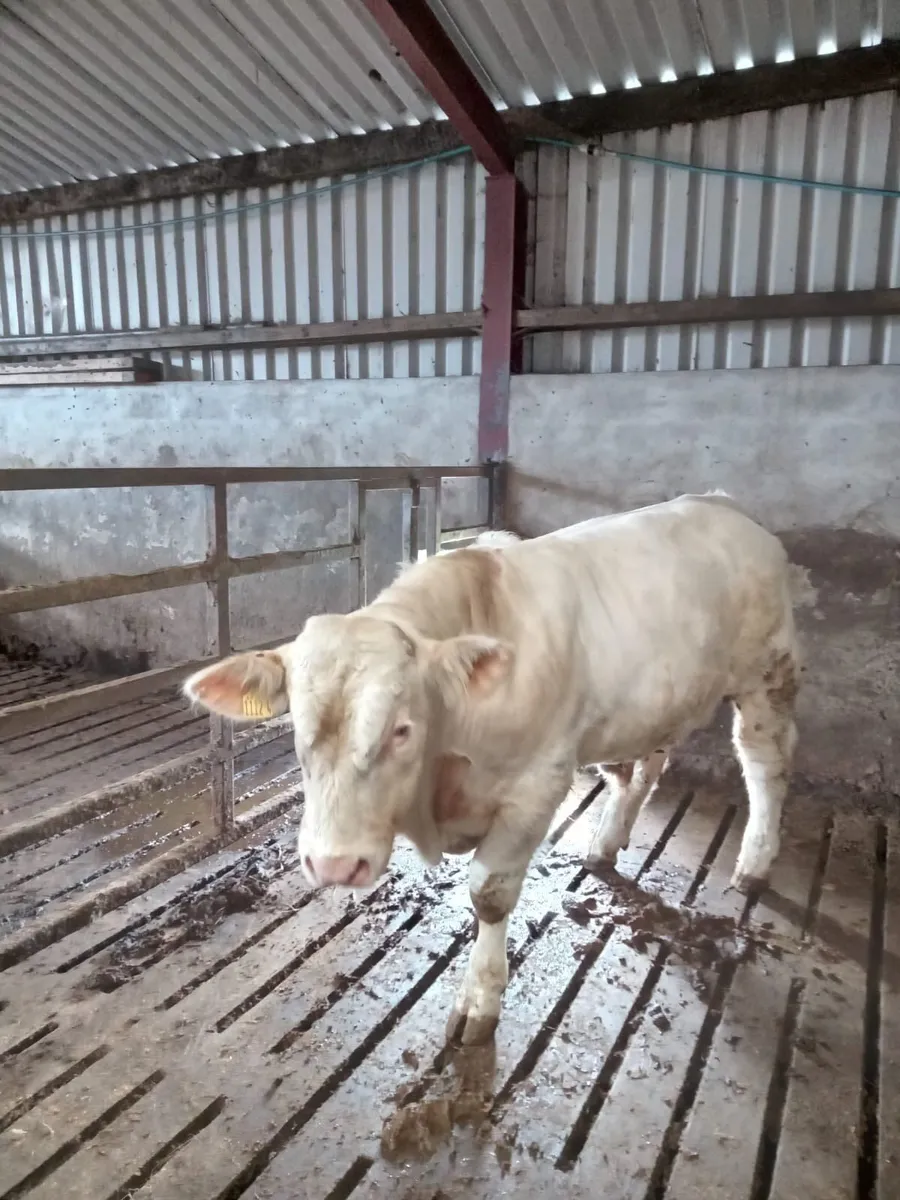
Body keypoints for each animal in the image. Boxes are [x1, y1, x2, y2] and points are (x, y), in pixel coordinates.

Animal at [183, 493, 799, 1045]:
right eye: (296, 727)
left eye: (402, 729)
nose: (333, 865)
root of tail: (723, 505)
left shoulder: (537, 787)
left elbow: (490, 895)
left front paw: (479, 1001)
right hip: (651, 707)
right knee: (642, 770)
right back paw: (606, 844)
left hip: (768, 675)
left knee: (765, 764)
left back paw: (755, 862)